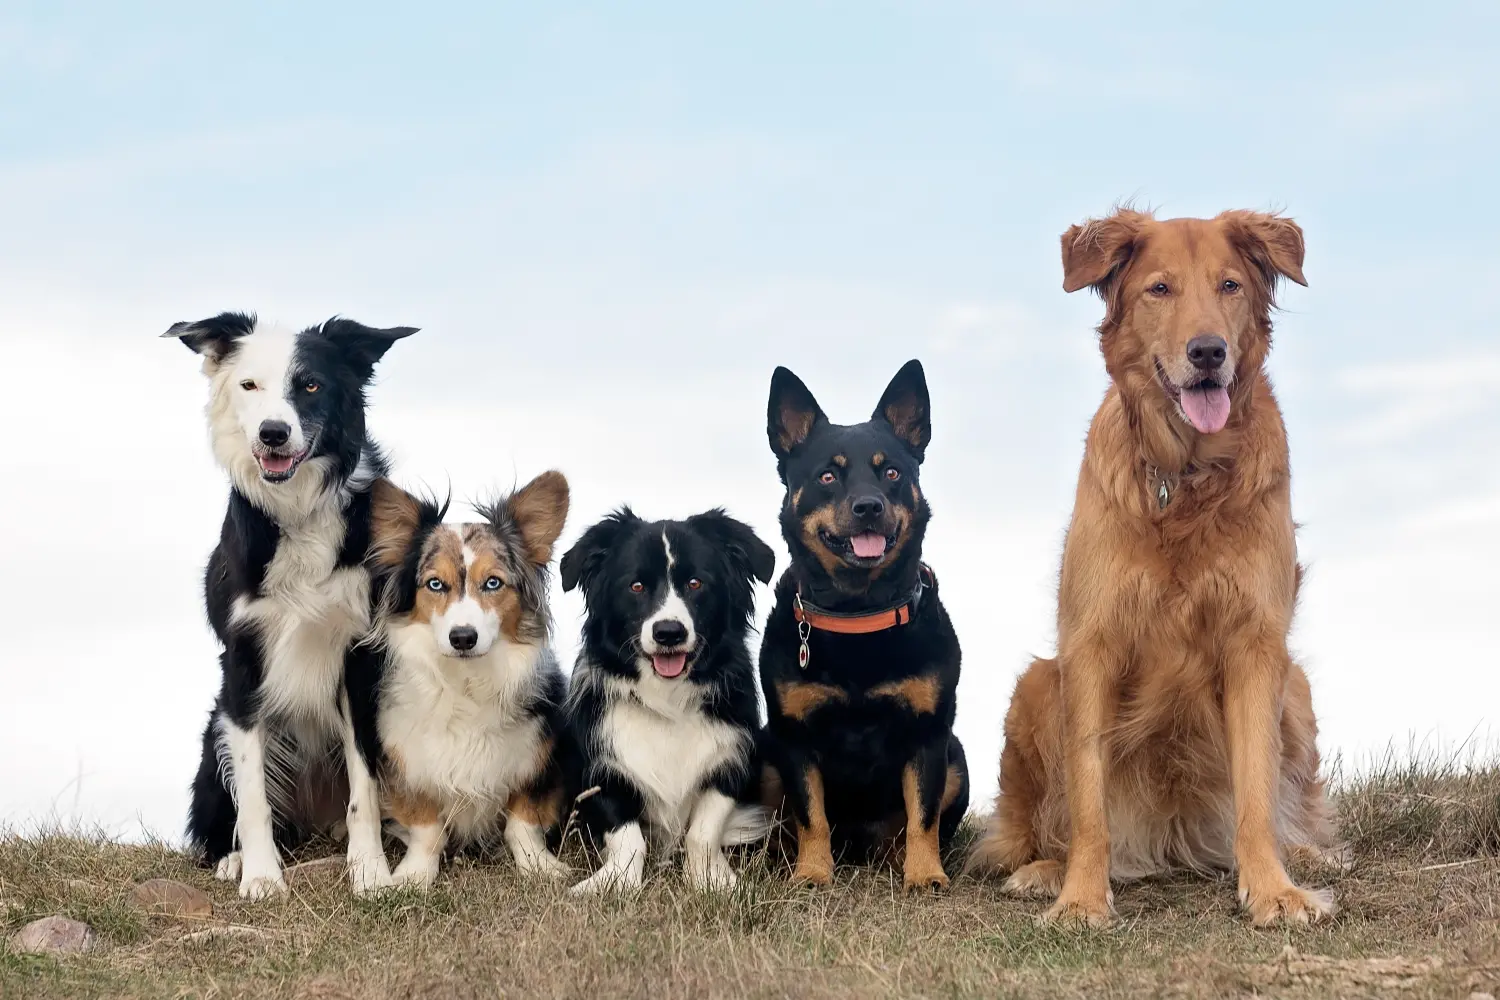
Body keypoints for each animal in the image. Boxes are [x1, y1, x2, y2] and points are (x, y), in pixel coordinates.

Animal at [170, 310, 417, 899]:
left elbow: (363, 786)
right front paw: (262, 877)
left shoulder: (359, 657)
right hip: (215, 733)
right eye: (249, 386)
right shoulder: (242, 660)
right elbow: (253, 794)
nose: (273, 433)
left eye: (309, 386)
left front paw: (370, 871)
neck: (299, 508)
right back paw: (235, 859)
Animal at [561, 509, 774, 893]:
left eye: (695, 583)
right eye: (636, 586)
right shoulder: (602, 767)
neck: (667, 700)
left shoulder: (730, 761)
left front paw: (711, 881)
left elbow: (703, 831)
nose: (669, 633)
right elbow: (627, 835)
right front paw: (615, 883)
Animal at [762, 359, 972, 893]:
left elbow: (923, 815)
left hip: (957, 757)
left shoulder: (928, 736)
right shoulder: (794, 738)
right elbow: (810, 814)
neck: (859, 615)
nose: (869, 506)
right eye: (828, 475)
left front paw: (925, 874)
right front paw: (812, 872)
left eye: (892, 472)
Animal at [966, 206, 1344, 929]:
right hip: (1036, 684)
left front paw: (1273, 889)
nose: (1208, 352)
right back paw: (1043, 870)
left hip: (1299, 687)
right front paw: (1080, 898)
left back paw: (1307, 854)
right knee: (1038, 827)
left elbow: (1257, 790)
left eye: (1229, 285)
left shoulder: (1256, 643)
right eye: (1159, 289)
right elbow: (1088, 799)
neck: (1186, 473)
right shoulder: (1090, 643)